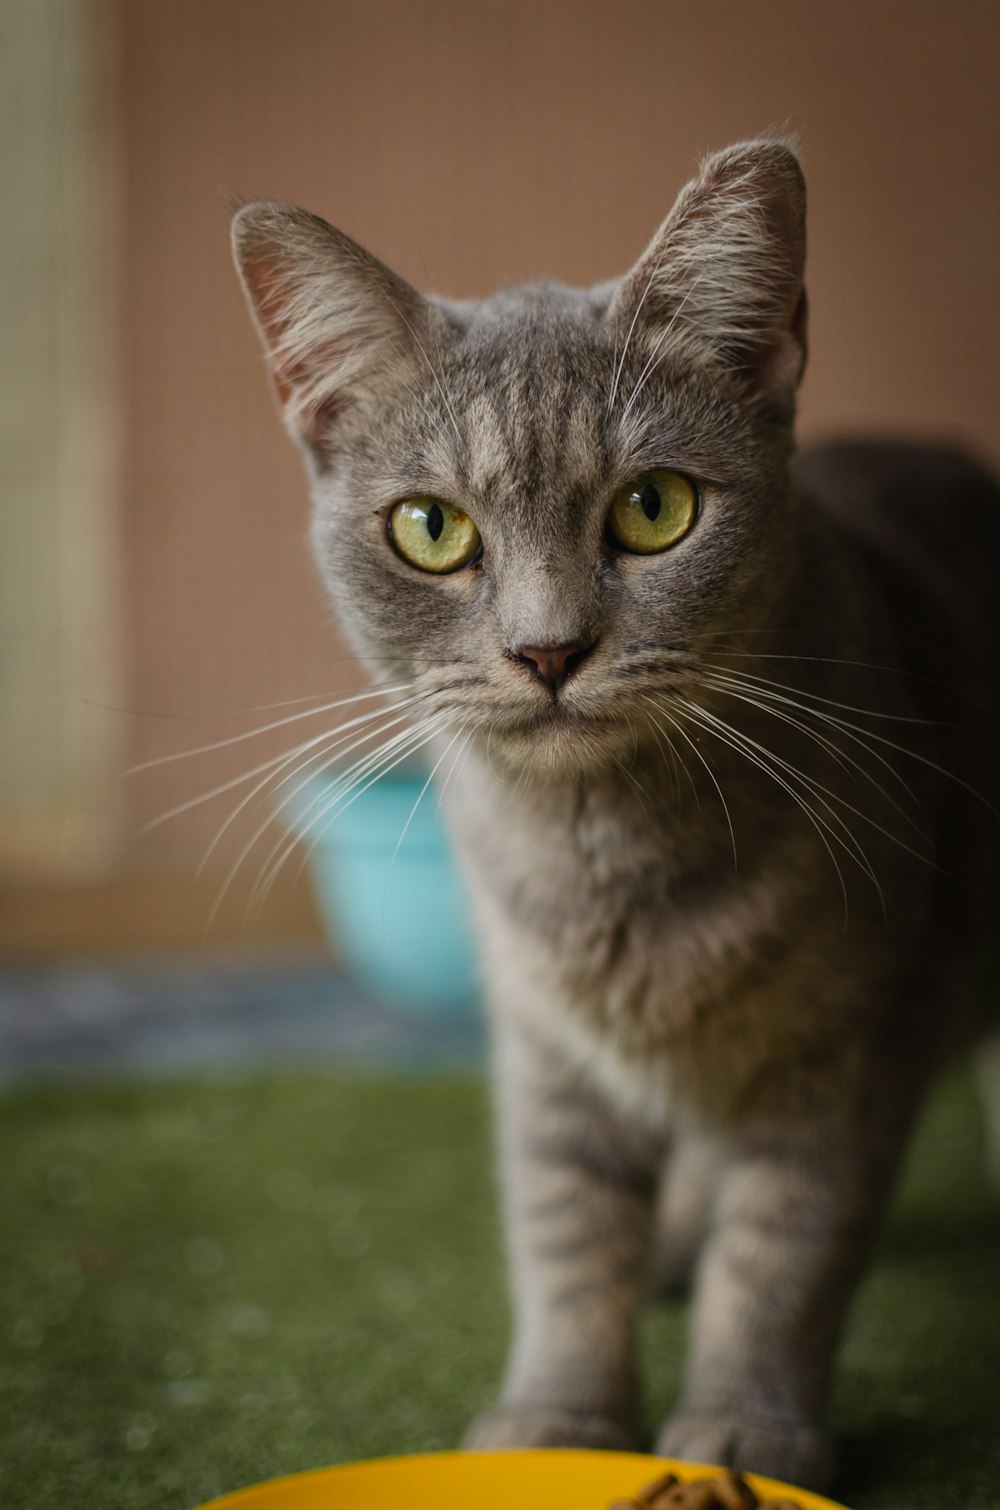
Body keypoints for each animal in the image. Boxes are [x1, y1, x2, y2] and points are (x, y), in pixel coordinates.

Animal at [231, 138, 1000, 1485]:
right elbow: (566, 1236)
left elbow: (785, 1248)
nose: (547, 651)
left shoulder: (857, 1045)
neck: (603, 849)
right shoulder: (548, 1052)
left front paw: (741, 1430)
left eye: (653, 508)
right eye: (430, 528)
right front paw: (561, 1416)